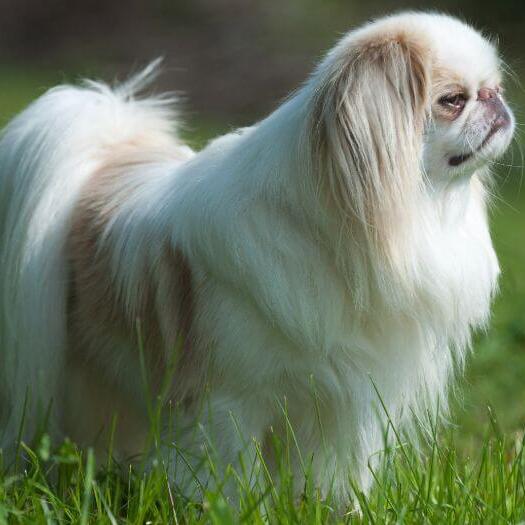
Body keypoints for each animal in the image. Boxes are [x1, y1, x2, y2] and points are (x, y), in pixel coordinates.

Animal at [0, 12, 512, 504]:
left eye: (495, 89)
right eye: (453, 100)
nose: (497, 103)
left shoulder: (343, 404)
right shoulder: (229, 403)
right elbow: (233, 481)